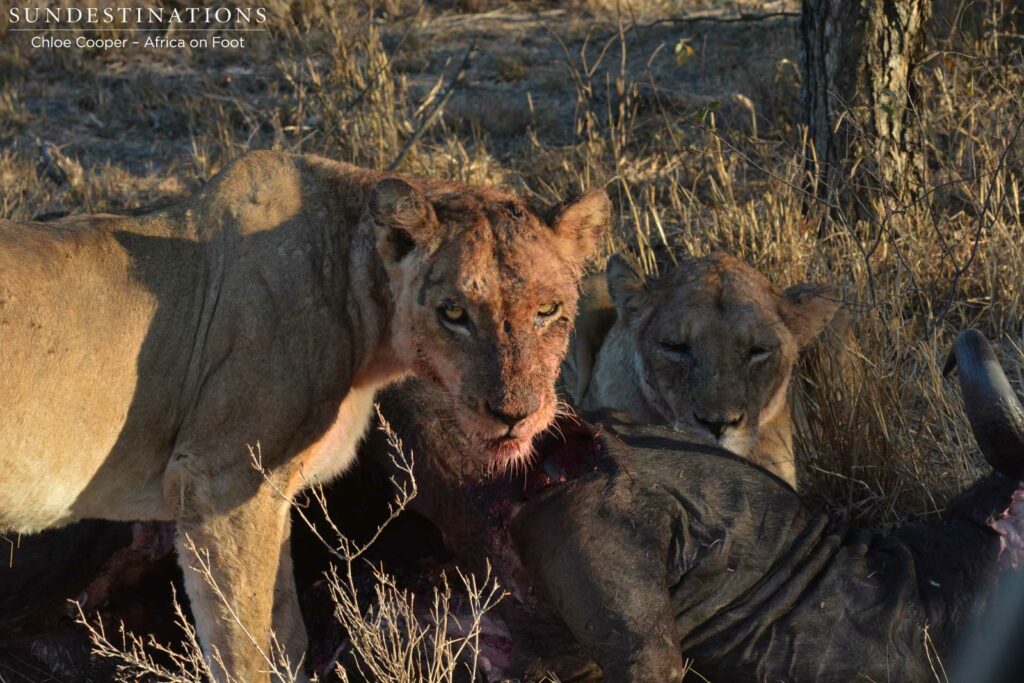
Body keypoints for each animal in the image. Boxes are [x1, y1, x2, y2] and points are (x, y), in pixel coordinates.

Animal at [0, 150, 608, 682]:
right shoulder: (220, 482)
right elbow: (244, 651)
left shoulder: (268, 493)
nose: (514, 414)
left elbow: (285, 635)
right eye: (453, 312)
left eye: (548, 310)